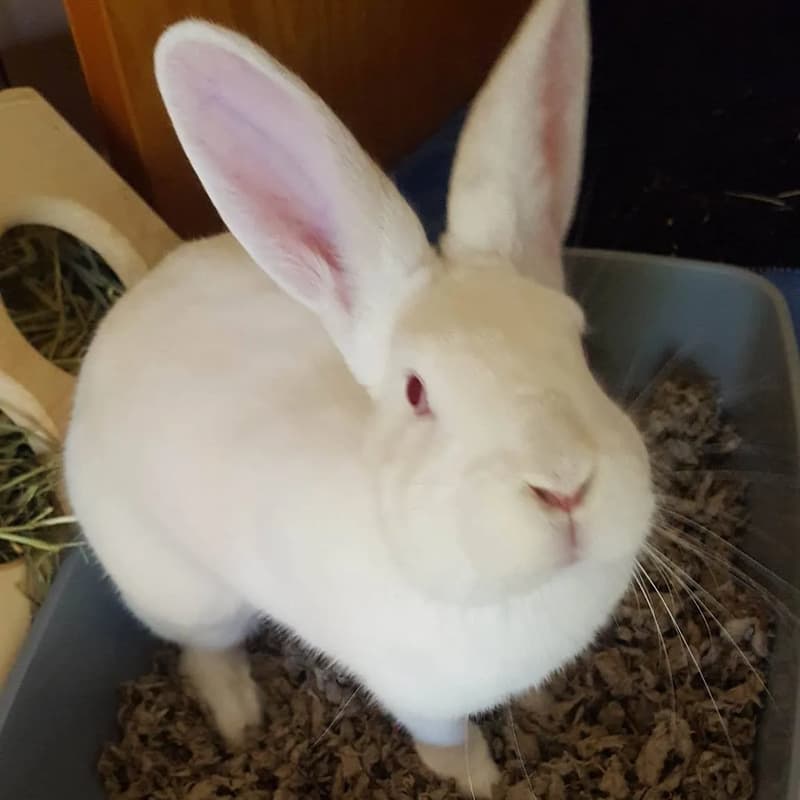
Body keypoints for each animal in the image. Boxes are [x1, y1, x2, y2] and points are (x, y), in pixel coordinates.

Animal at [63, 0, 655, 795]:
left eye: (580, 344)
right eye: (415, 392)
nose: (563, 486)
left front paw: (541, 705)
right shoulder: (419, 699)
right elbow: (447, 743)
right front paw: (480, 780)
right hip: (186, 592)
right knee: (203, 651)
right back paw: (239, 718)